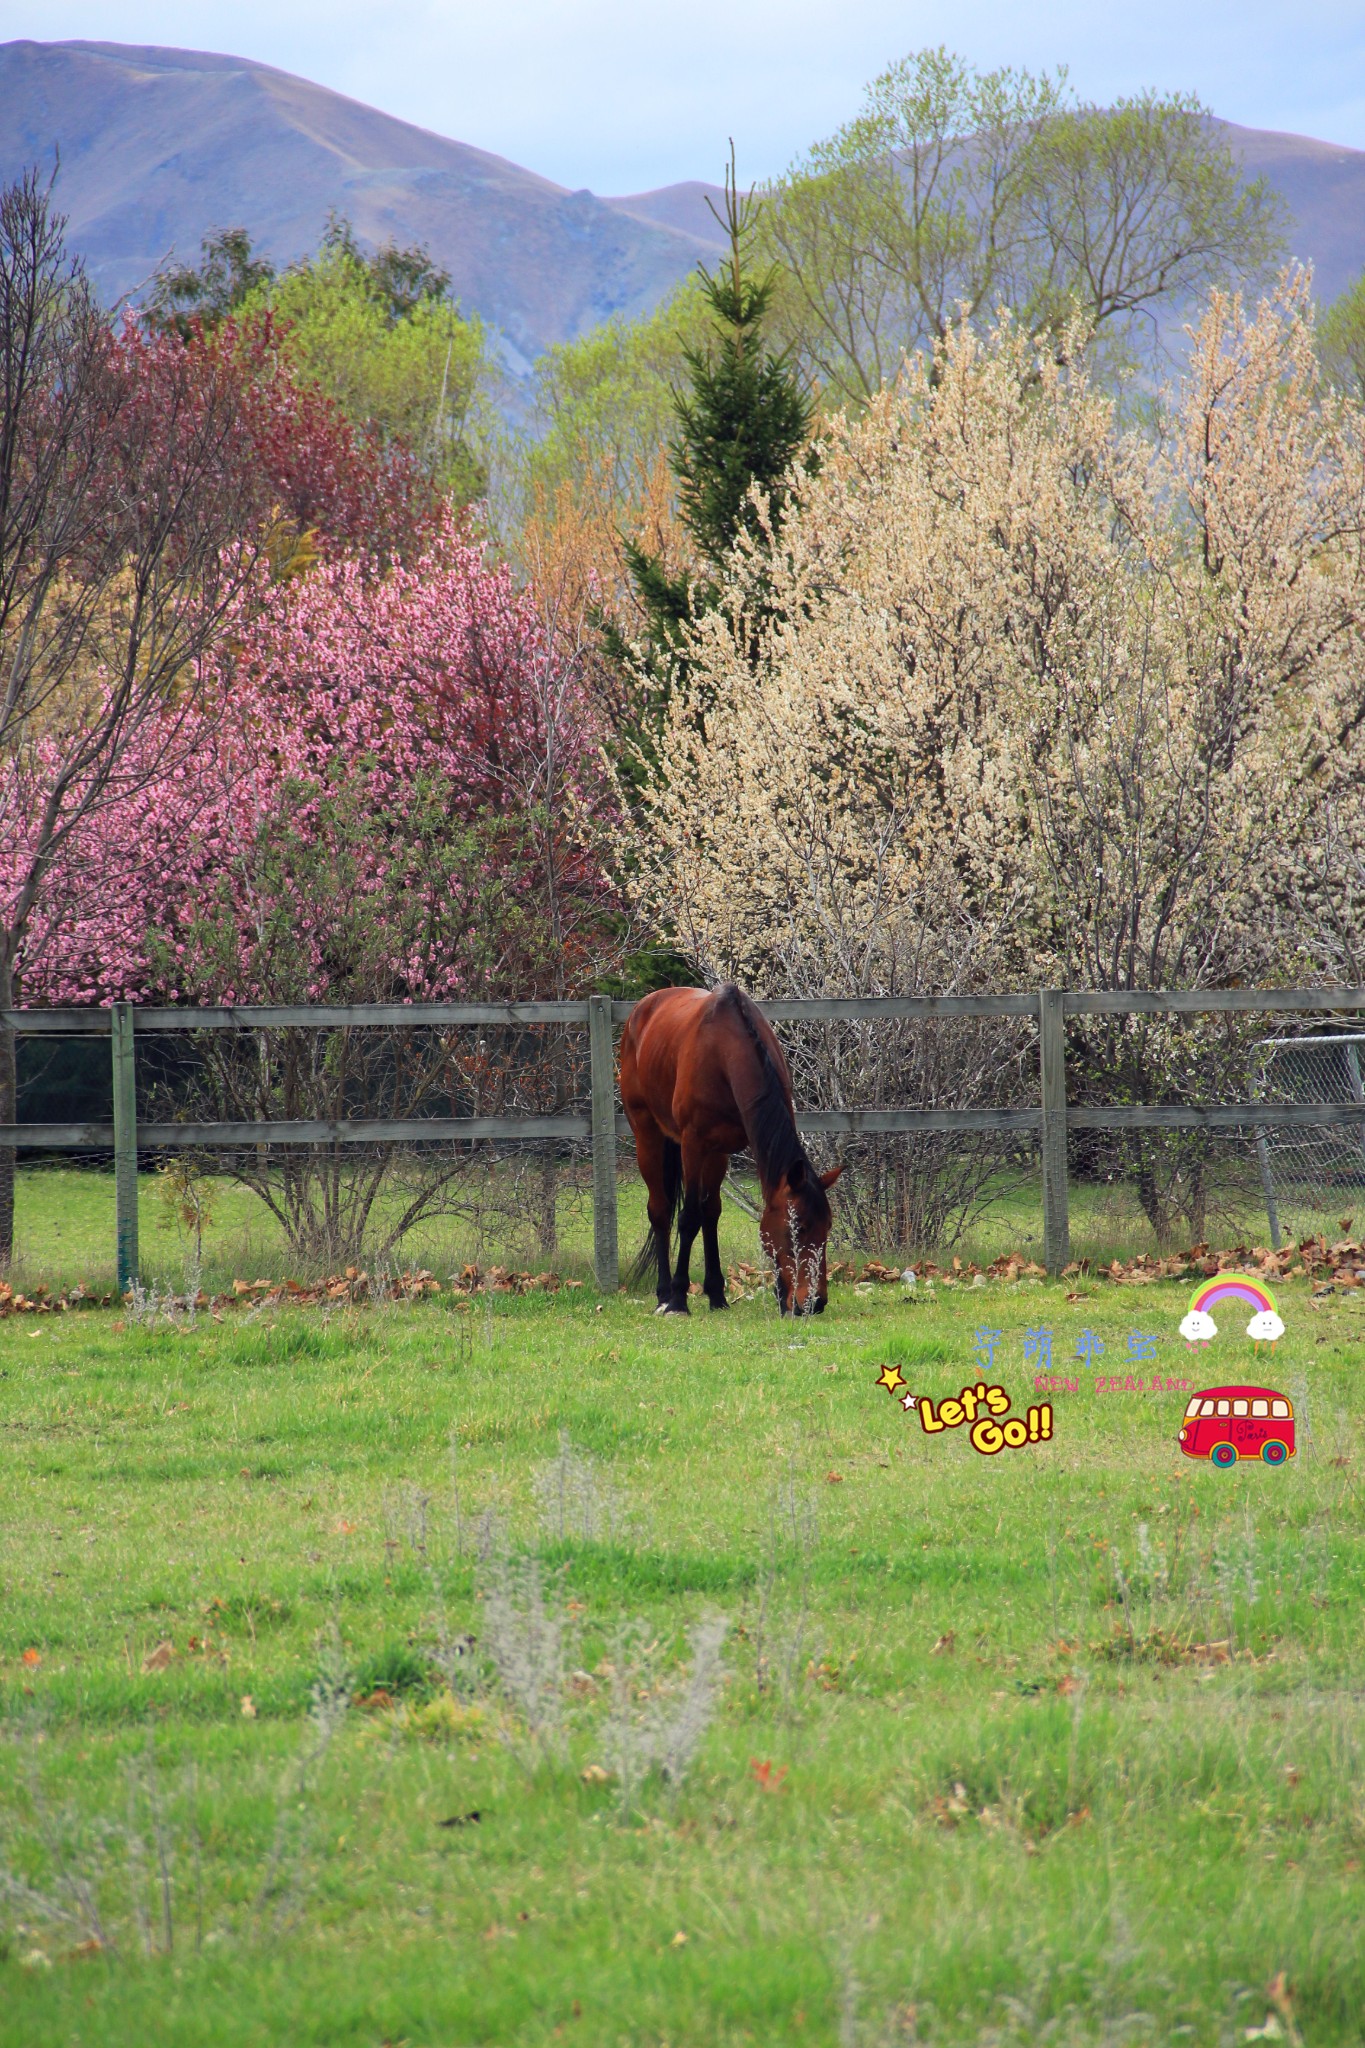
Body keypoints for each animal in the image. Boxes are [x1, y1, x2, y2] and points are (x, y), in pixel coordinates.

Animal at [622, 983, 843, 1318]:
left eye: (827, 1227)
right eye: (799, 1228)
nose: (815, 1303)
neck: (724, 1051)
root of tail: (641, 1009)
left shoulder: (720, 1149)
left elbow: (712, 1214)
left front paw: (720, 1295)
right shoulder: (693, 1144)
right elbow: (689, 1218)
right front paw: (678, 1299)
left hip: (712, 1155)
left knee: (709, 1212)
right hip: (647, 1134)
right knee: (660, 1210)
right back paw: (663, 1295)